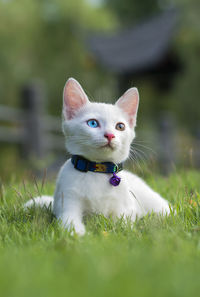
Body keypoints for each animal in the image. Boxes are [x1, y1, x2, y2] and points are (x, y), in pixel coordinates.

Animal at [25, 77, 170, 235]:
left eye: (120, 126)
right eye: (93, 123)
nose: (110, 135)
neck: (97, 170)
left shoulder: (124, 208)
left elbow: (124, 224)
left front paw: (126, 231)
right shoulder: (68, 200)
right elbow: (71, 223)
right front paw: (81, 235)